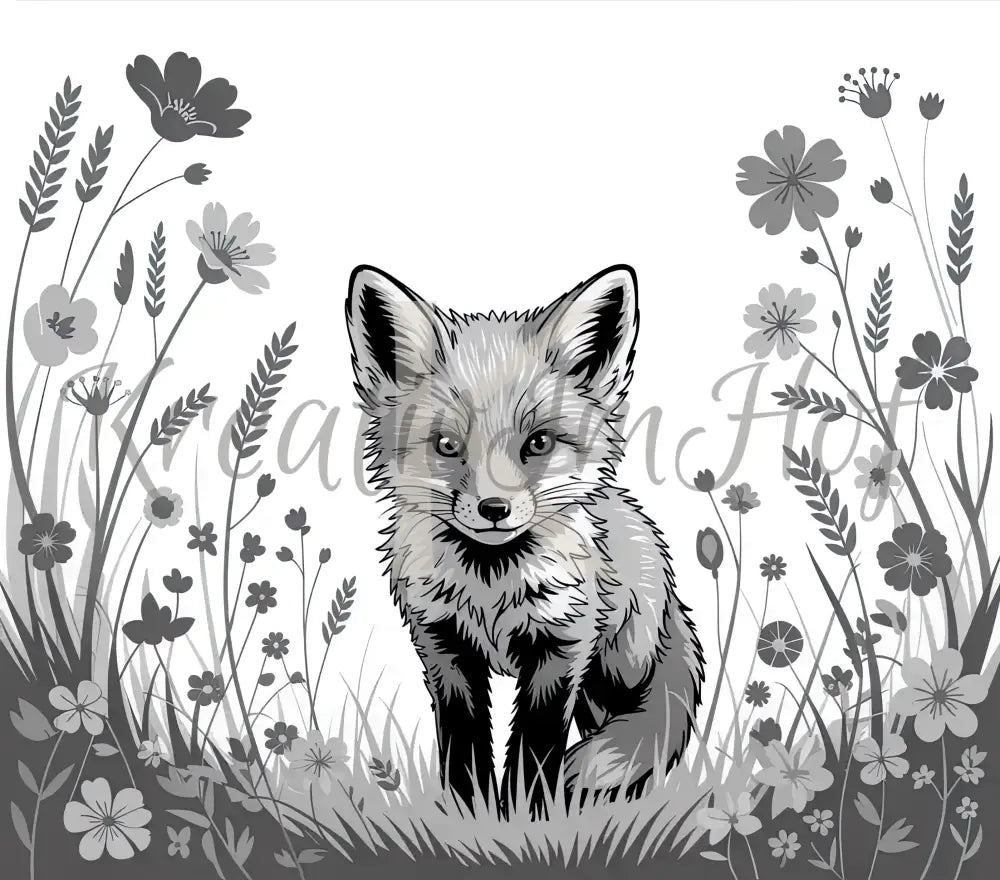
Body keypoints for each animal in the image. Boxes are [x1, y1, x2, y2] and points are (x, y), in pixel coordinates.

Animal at [345, 264, 704, 814]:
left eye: (537, 442)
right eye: (446, 444)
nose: (494, 509)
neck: (490, 586)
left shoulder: (563, 646)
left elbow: (536, 746)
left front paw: (525, 815)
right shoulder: (444, 649)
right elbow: (465, 742)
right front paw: (468, 812)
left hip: (615, 669)